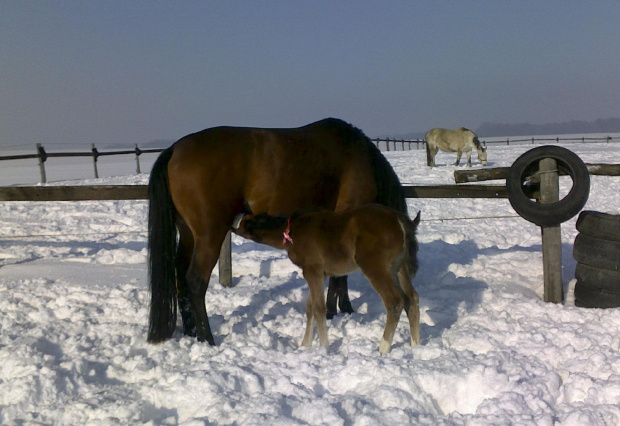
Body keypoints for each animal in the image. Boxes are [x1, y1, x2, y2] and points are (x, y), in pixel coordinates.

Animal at [147, 118, 404, 344]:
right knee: (195, 281)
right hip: (210, 235)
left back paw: (192, 333)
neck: (362, 158)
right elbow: (340, 274)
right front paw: (338, 309)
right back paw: (208, 338)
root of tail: (175, 149)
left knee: (180, 277)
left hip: (189, 235)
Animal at [234, 205, 422, 354]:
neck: (293, 231)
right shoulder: (318, 274)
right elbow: (310, 308)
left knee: (395, 301)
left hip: (375, 267)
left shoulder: (312, 271)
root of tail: (399, 221)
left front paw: (324, 346)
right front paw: (305, 345)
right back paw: (416, 346)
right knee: (411, 298)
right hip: (398, 268)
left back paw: (383, 349)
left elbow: (319, 308)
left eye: (244, 221)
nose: (233, 225)